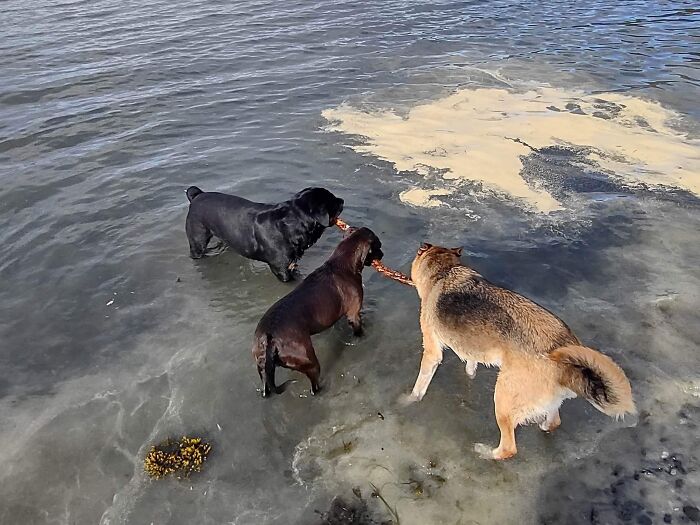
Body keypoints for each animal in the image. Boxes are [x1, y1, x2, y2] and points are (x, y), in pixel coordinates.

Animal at [252, 227, 382, 396]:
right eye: (378, 246)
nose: (383, 254)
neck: (342, 263)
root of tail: (270, 337)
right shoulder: (354, 315)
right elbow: (358, 330)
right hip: (309, 360)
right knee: (314, 387)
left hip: (262, 368)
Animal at [408, 244, 636, 456]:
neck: (444, 271)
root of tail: (564, 365)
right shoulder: (472, 350)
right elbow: (471, 365)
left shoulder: (432, 351)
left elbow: (420, 383)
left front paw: (409, 400)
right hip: (547, 400)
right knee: (553, 422)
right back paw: (543, 426)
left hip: (503, 399)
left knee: (509, 447)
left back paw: (486, 453)